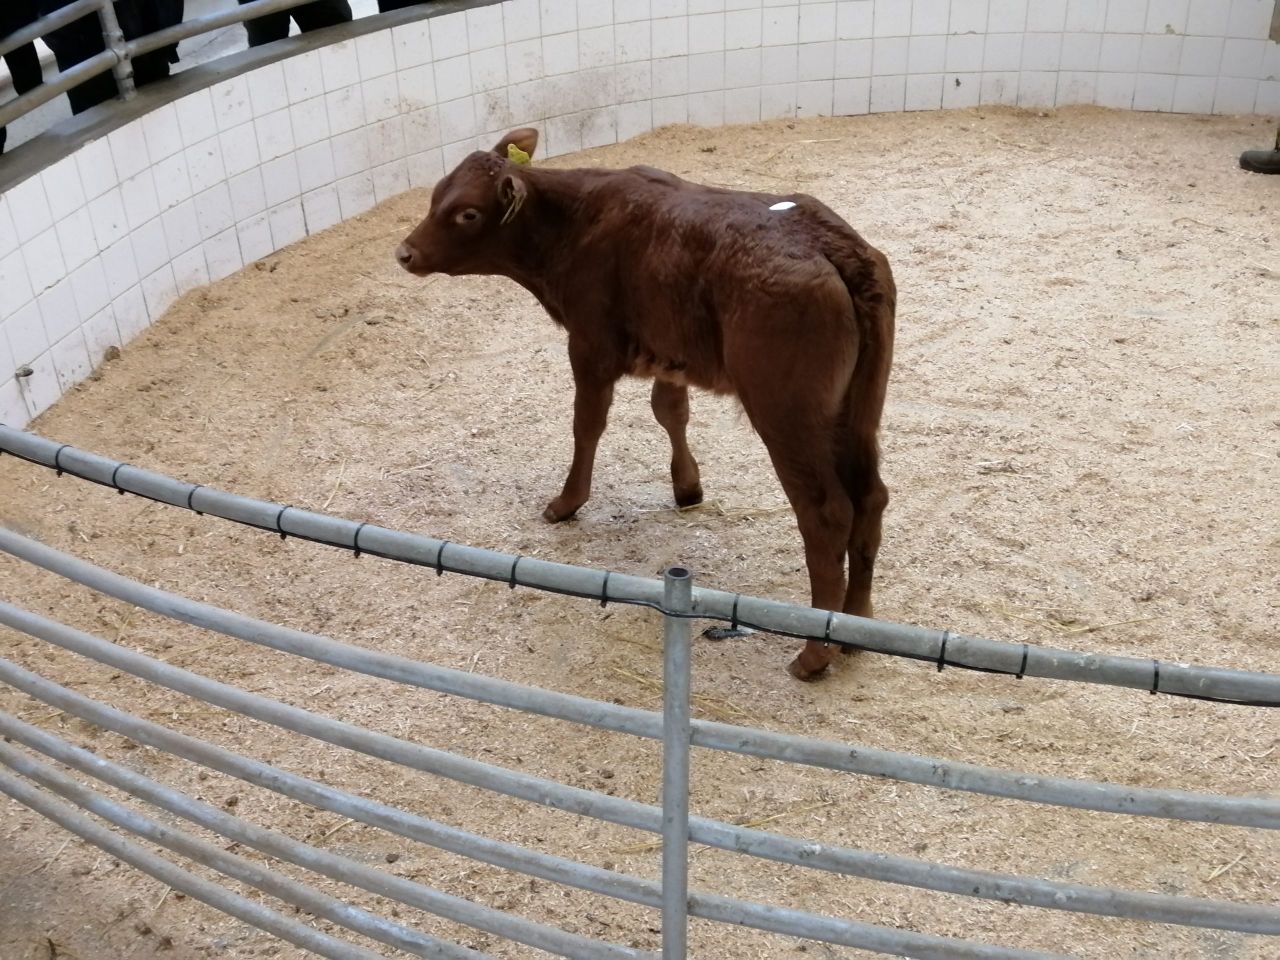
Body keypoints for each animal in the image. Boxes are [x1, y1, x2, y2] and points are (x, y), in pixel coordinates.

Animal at [395, 127, 896, 681]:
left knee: (827, 512)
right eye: (437, 193)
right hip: (857, 411)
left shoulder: (590, 344)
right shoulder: (668, 349)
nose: (405, 252)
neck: (577, 220)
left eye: (467, 213)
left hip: (786, 412)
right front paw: (687, 486)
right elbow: (670, 410)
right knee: (870, 498)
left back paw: (814, 653)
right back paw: (856, 626)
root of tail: (833, 245)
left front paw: (566, 502)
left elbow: (587, 424)